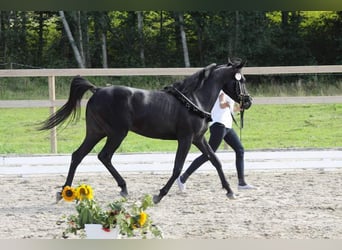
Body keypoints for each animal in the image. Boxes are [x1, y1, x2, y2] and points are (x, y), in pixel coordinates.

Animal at [40, 60, 251, 203]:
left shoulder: (198, 139)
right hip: (116, 133)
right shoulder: (185, 138)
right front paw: (159, 195)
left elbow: (215, 161)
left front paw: (229, 191)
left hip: (96, 132)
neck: (194, 99)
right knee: (103, 156)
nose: (248, 101)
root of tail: (97, 90)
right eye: (241, 79)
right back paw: (122, 187)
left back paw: (64, 191)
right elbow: (177, 167)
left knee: (78, 155)